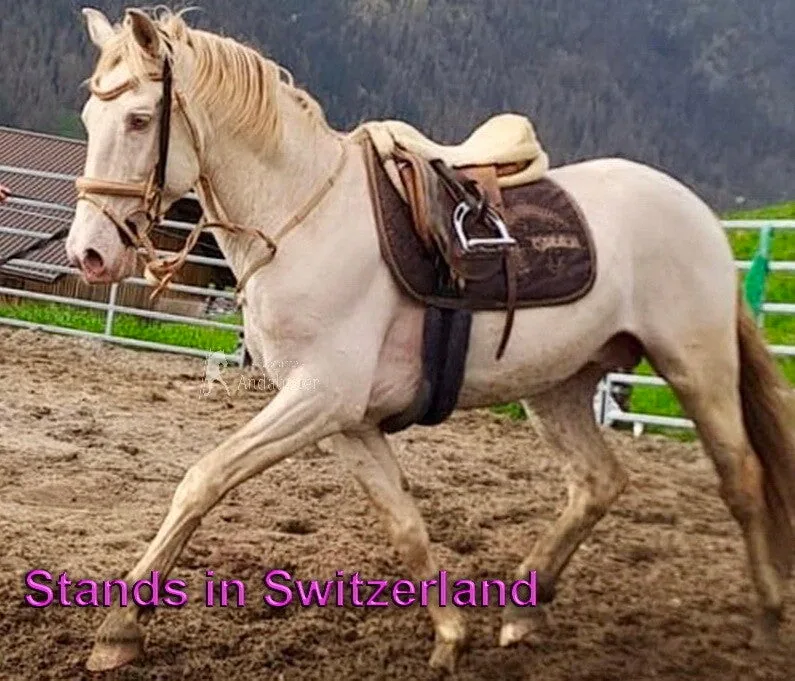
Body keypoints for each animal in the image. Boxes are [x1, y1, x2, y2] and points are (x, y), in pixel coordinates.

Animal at [66, 6, 795, 673]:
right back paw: (524, 606)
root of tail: (693, 210)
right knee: (598, 481)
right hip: (560, 386)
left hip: (696, 369)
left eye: (138, 120)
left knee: (741, 477)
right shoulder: (345, 420)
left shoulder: (319, 398)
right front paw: (450, 635)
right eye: (89, 119)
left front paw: (119, 628)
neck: (305, 218)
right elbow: (405, 524)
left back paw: (764, 619)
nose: (88, 254)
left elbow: (203, 478)